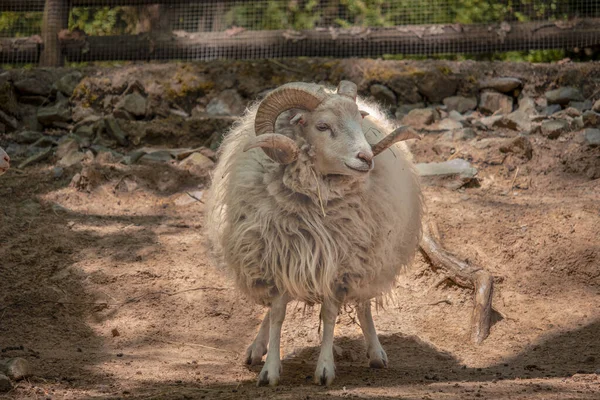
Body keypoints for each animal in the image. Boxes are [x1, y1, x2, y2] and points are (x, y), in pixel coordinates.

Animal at [206, 82, 422, 388]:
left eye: (359, 122)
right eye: (323, 126)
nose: (366, 158)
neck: (316, 201)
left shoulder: (341, 269)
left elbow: (330, 315)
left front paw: (324, 369)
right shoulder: (277, 259)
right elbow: (277, 314)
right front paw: (270, 370)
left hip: (371, 257)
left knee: (364, 304)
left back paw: (375, 352)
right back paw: (256, 348)